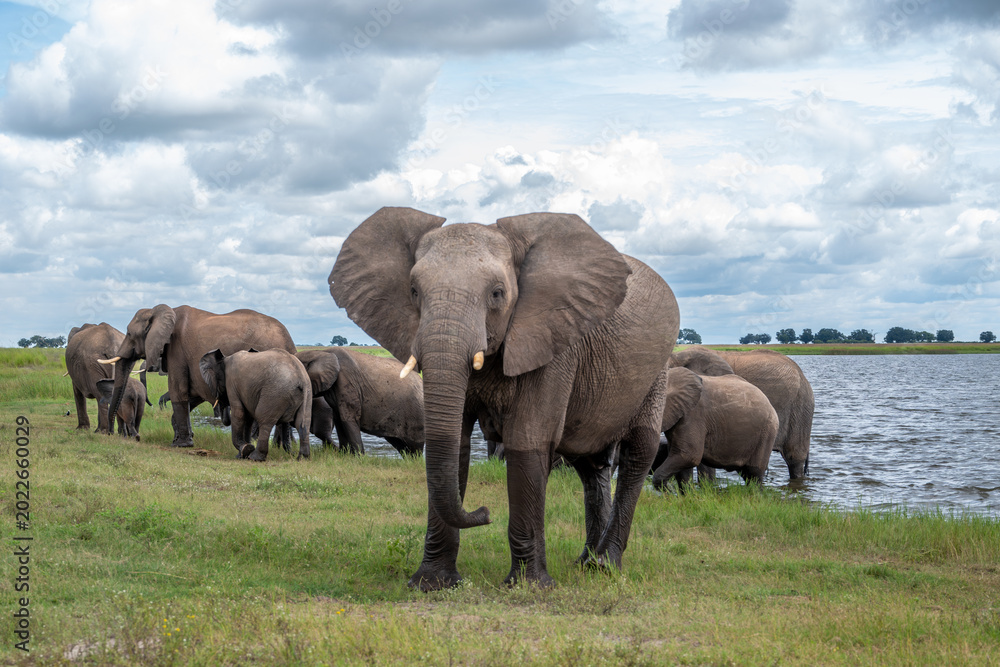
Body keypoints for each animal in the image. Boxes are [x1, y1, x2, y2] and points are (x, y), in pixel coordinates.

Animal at [102, 305, 296, 449]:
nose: (110, 434)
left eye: (129, 334)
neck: (160, 311)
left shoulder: (177, 350)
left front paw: (180, 444)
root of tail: (289, 342)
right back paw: (284, 449)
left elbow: (178, 391)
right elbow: (193, 395)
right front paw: (181, 438)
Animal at [296, 348, 425, 456]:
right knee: (399, 443)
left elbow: (349, 419)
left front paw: (358, 457)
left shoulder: (346, 382)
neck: (320, 352)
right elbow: (339, 420)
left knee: (415, 445)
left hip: (415, 414)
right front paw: (345, 455)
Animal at [329, 207, 679, 590]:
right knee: (592, 467)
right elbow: (456, 443)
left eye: (497, 294)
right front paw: (432, 583)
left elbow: (527, 440)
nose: (483, 513)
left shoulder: (552, 341)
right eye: (413, 291)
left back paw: (605, 565)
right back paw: (585, 562)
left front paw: (530, 587)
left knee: (638, 453)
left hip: (658, 371)